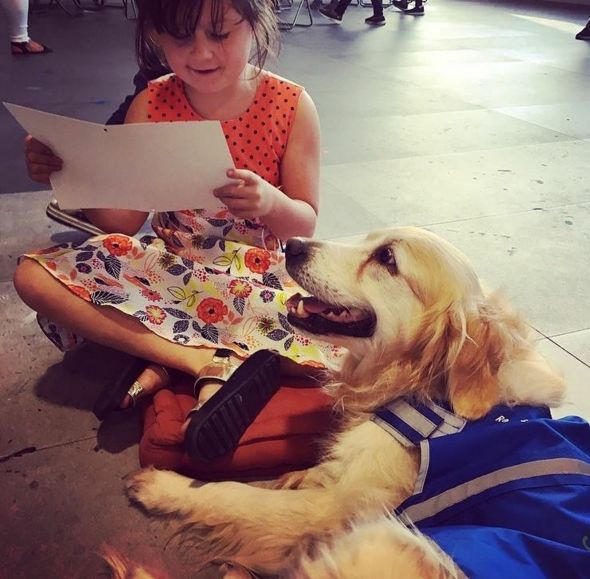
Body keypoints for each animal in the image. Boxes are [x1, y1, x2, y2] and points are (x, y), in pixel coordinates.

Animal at [124, 226, 574, 577]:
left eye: (387, 258)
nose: (293, 244)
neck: (426, 392)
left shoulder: (330, 512)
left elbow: (236, 494)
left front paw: (164, 485)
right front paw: (300, 474)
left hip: (387, 538)